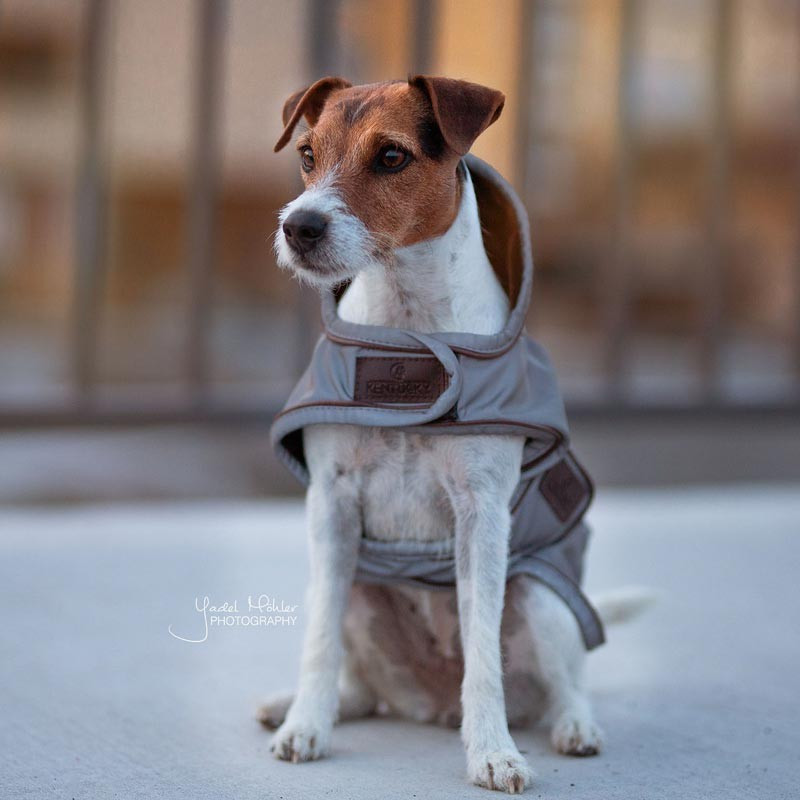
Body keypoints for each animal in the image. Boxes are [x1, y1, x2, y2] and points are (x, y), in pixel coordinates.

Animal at [260, 76, 648, 792]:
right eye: (306, 154)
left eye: (391, 156)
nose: (298, 227)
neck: (408, 335)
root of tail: (429, 703)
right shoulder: (330, 505)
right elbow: (319, 641)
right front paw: (305, 725)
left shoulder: (483, 515)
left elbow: (484, 653)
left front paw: (493, 752)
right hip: (355, 585)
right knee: (358, 682)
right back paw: (298, 705)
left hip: (542, 596)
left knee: (568, 681)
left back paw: (573, 726)